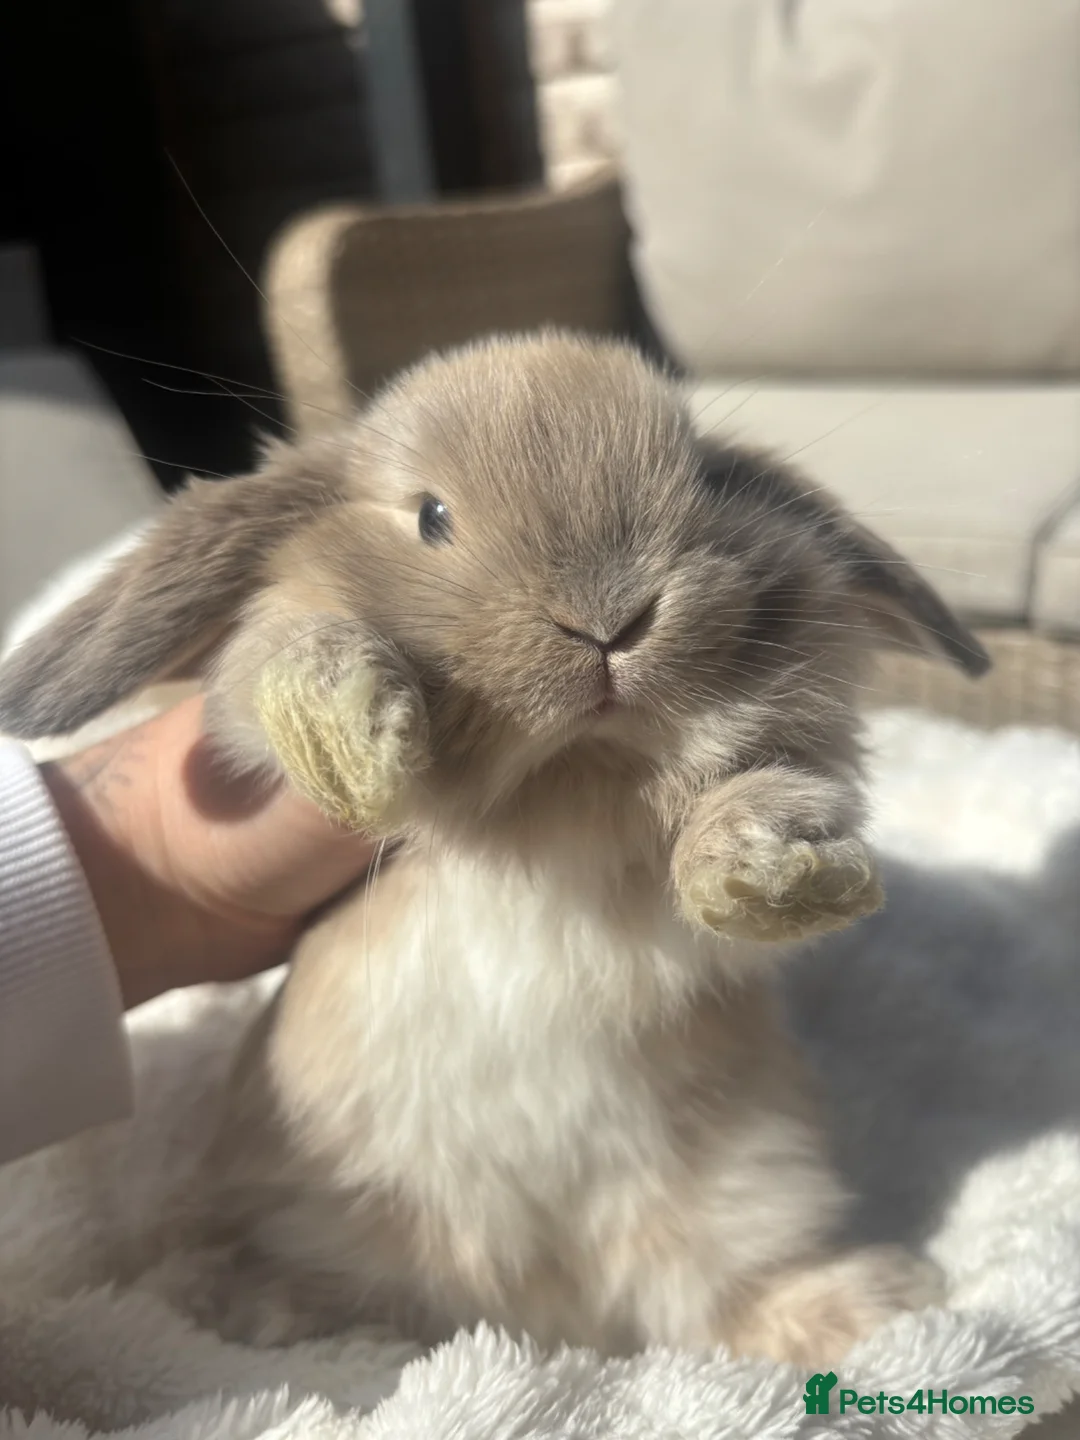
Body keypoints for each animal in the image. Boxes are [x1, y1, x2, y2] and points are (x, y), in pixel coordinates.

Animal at [0, 330, 989, 1365]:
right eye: (430, 517)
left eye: (707, 483)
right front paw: (351, 732)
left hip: (751, 1188)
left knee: (719, 1300)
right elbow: (292, 647)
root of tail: (544, 1313)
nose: (610, 620)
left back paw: (885, 1310)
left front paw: (771, 865)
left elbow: (747, 797)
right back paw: (242, 1304)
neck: (567, 772)